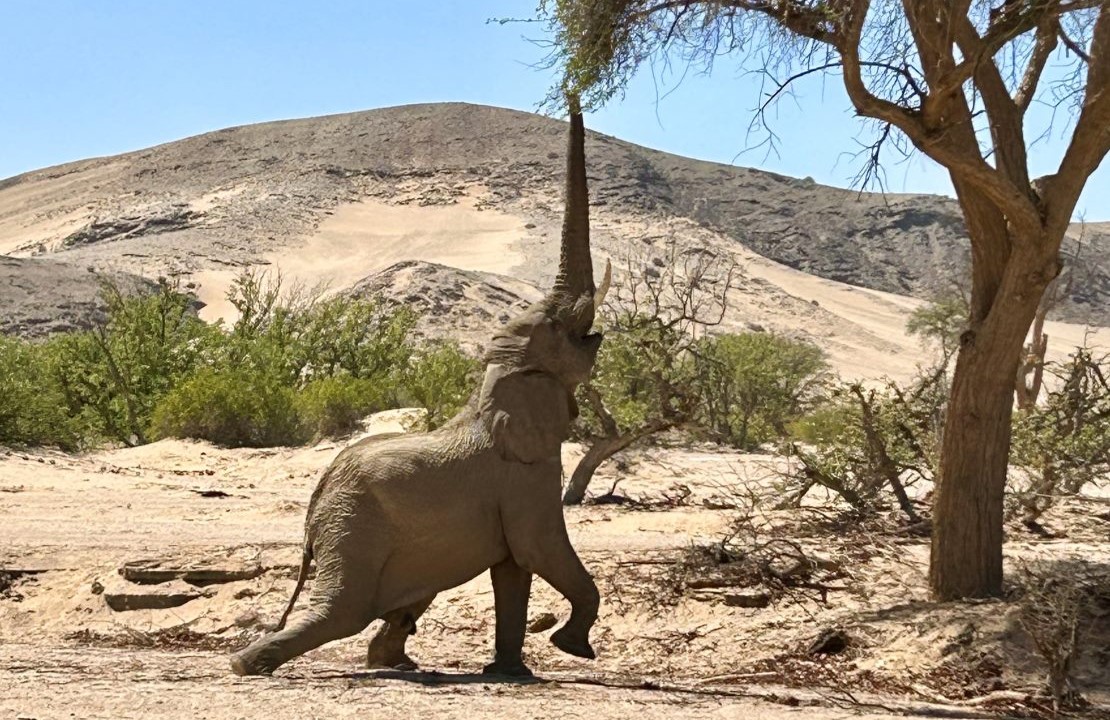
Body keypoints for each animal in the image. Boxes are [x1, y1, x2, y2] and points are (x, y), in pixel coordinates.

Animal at [229, 101, 609, 678]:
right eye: (560, 329)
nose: (572, 91)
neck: (495, 384)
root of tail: (317, 501)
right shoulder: (526, 477)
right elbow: (540, 550)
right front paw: (572, 647)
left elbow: (513, 571)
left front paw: (510, 673)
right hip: (356, 528)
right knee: (341, 609)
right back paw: (246, 665)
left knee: (395, 606)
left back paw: (392, 661)